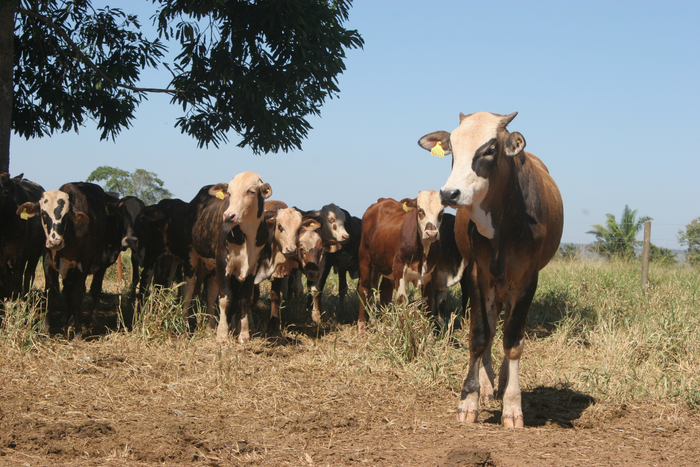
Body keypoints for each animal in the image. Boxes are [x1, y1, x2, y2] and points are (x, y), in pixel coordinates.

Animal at [17, 181, 122, 338]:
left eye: (66, 216)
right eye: (43, 214)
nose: (55, 242)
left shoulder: (82, 264)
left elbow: (76, 294)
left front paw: (77, 331)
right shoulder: (48, 262)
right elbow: (51, 293)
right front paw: (45, 328)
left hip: (99, 262)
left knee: (93, 290)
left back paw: (88, 322)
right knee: (67, 289)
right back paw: (67, 322)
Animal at [183, 172, 274, 344]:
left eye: (251, 191)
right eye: (229, 193)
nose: (229, 216)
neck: (247, 235)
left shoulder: (252, 267)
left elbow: (244, 298)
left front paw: (243, 333)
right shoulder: (224, 263)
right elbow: (226, 298)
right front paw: (222, 335)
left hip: (213, 268)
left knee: (211, 294)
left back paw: (210, 327)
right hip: (191, 255)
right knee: (188, 290)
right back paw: (184, 326)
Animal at [358, 191, 446, 332]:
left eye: (441, 212)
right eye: (420, 210)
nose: (431, 234)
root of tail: (382, 200)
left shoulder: (431, 275)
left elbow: (427, 304)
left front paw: (429, 334)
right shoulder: (400, 272)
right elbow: (402, 301)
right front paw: (404, 332)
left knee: (384, 292)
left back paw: (381, 324)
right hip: (364, 258)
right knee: (364, 288)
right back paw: (361, 326)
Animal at [422, 110, 564, 428]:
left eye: (488, 150)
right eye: (452, 149)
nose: (450, 193)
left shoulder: (527, 279)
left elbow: (513, 341)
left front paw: (512, 405)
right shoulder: (477, 274)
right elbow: (479, 336)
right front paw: (469, 399)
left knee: (510, 326)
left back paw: (501, 381)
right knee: (490, 325)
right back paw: (487, 385)